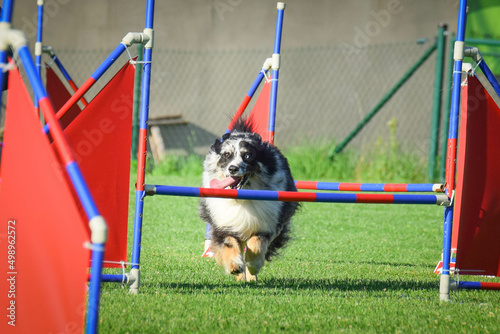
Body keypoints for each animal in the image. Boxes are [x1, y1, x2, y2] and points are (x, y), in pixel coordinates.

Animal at [199, 120, 298, 282]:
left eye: (247, 155)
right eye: (227, 155)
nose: (233, 168)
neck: (240, 198)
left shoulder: (268, 224)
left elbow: (257, 243)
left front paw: (253, 266)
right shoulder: (223, 224)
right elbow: (229, 244)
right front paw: (234, 266)